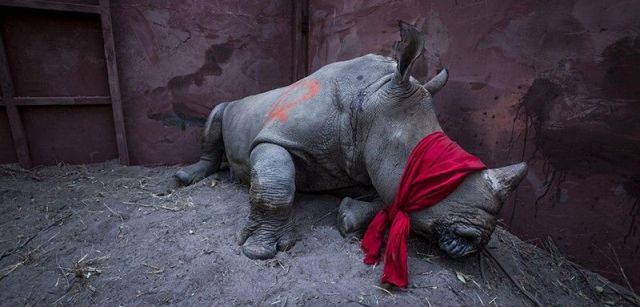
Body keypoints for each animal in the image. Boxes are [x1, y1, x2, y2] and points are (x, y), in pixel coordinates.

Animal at [175, 22, 524, 262]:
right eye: (433, 172)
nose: (475, 239)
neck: (372, 99)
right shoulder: (278, 137)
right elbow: (276, 185)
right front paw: (260, 250)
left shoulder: (371, 158)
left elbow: (388, 196)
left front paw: (348, 217)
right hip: (234, 104)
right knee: (217, 113)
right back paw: (186, 177)